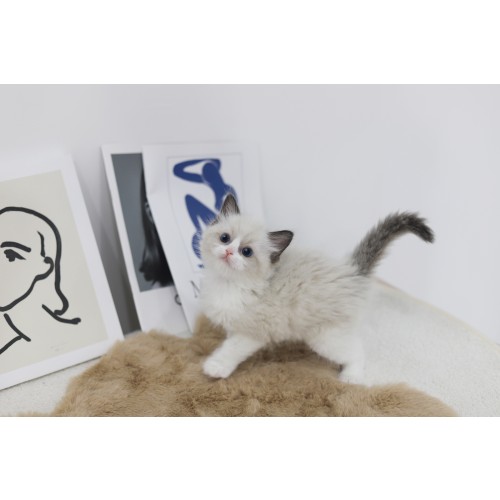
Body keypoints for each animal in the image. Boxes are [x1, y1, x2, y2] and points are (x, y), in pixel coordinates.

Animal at [199, 194, 434, 384]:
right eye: (225, 238)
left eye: (246, 252)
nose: (229, 252)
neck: (228, 283)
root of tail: (351, 269)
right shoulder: (235, 323)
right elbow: (228, 340)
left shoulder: (253, 331)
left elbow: (232, 349)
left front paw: (216, 367)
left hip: (325, 337)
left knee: (356, 350)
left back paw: (351, 376)